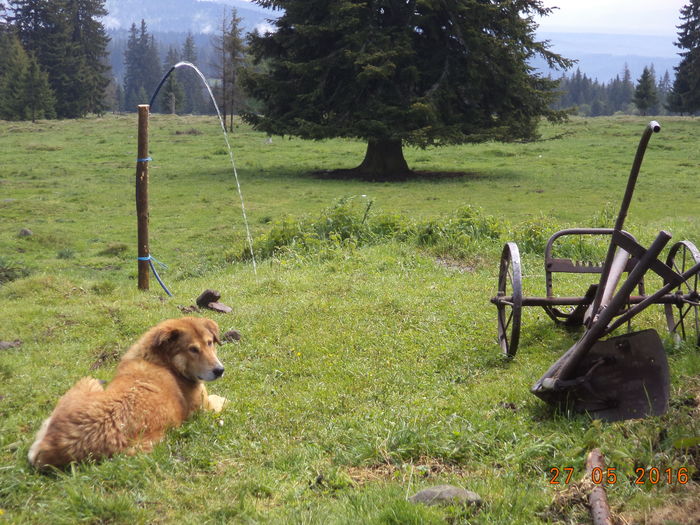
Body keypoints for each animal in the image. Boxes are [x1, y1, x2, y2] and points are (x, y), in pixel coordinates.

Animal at [27, 316, 228, 466]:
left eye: (210, 343)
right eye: (193, 349)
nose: (219, 370)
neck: (163, 361)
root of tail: (52, 447)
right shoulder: (206, 408)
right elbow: (221, 400)